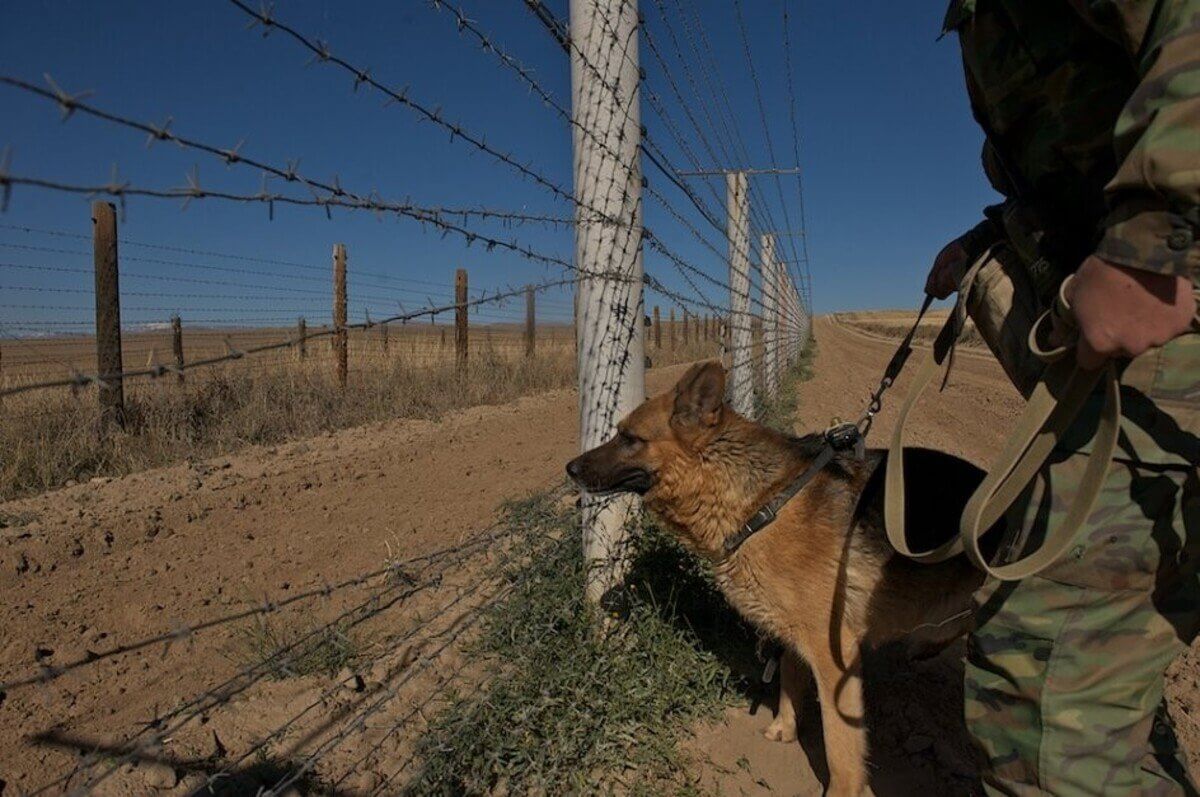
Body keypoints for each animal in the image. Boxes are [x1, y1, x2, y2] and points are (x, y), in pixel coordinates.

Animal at [566, 362, 988, 797]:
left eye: (630, 438)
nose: (570, 469)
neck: (762, 503)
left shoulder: (834, 654)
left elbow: (840, 746)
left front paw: (841, 790)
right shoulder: (792, 631)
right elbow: (788, 674)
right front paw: (785, 727)